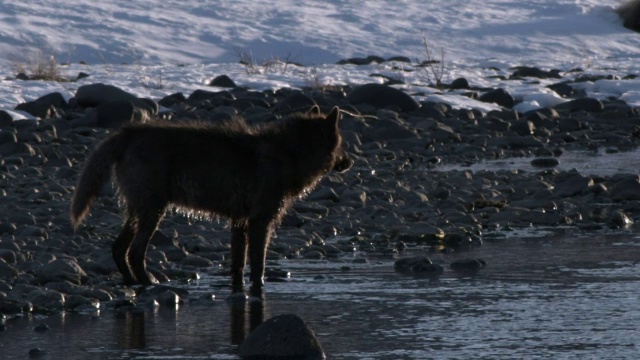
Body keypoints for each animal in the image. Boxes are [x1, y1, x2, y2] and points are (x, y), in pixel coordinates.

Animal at [70, 106, 352, 292]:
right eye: (342, 146)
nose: (350, 163)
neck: (290, 154)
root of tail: (127, 132)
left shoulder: (239, 223)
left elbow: (238, 264)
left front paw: (238, 289)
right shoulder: (260, 223)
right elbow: (258, 265)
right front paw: (258, 289)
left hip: (139, 211)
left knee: (118, 248)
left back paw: (131, 282)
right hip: (153, 212)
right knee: (135, 251)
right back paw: (149, 282)